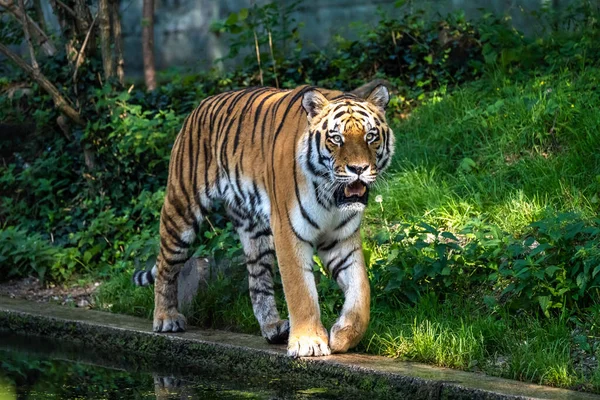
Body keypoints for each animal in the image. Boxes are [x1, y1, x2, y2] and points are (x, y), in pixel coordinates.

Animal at [132, 83, 394, 356]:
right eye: (336, 138)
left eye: (370, 136)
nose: (359, 169)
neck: (331, 197)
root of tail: (199, 106)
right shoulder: (289, 231)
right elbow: (300, 290)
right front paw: (309, 342)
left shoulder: (341, 239)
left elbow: (361, 291)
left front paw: (343, 335)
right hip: (181, 210)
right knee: (165, 266)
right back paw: (166, 318)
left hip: (255, 231)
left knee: (257, 280)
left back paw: (273, 327)